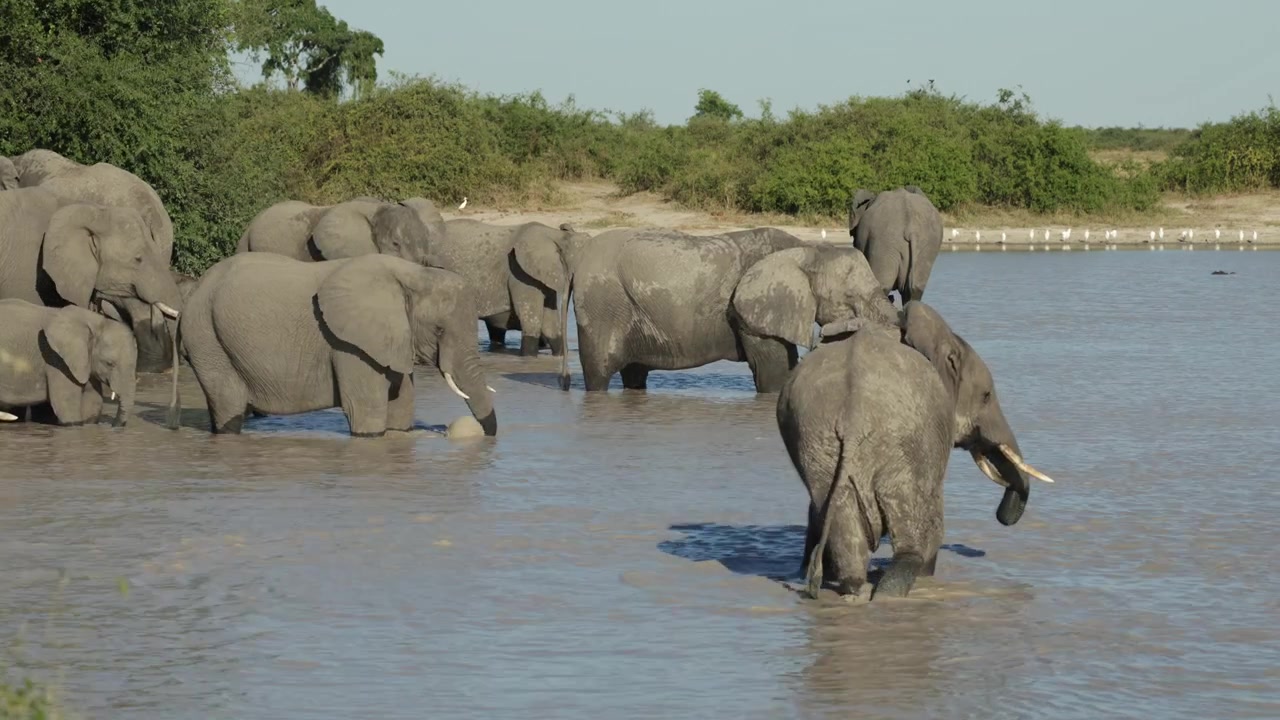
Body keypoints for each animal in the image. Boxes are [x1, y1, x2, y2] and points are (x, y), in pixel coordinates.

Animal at [0, 299, 138, 426]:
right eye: (109, 363)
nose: (114, 425)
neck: (95, 321)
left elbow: (93, 401)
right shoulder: (56, 359)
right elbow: (66, 407)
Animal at [179, 252, 498, 437]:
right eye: (439, 330)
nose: (488, 434)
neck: (413, 274)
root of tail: (195, 289)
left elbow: (401, 407)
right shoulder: (349, 344)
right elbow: (367, 413)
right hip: (206, 336)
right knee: (228, 405)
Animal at [562, 227, 897, 393]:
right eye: (850, 298)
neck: (809, 249)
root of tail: (577, 260)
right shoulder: (752, 311)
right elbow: (774, 371)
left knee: (634, 374)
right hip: (602, 305)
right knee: (599, 374)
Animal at [776, 301, 1055, 602]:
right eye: (986, 396)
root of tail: (853, 413)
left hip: (817, 441)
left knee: (845, 532)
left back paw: (856, 589)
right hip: (907, 444)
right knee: (918, 532)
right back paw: (891, 591)